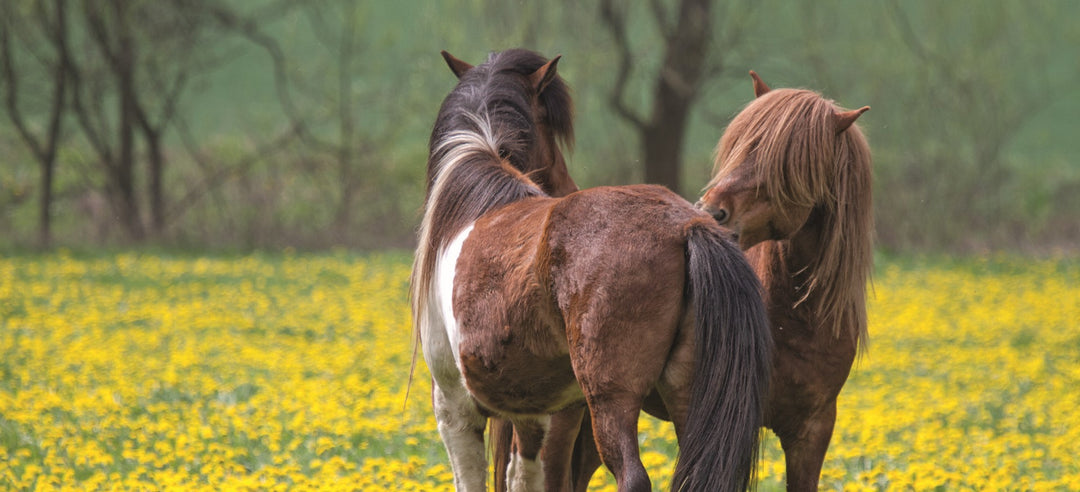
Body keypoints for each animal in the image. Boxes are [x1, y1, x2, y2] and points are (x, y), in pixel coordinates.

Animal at [408, 49, 773, 492]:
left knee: (631, 475)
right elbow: (524, 476)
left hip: (610, 400)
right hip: (689, 395)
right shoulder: (534, 411)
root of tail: (687, 226)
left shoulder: (454, 408)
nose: (566, 184)